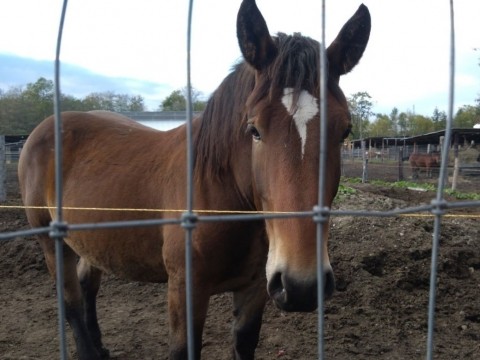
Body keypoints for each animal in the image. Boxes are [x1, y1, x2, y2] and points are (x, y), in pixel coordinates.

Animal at [17, 1, 372, 358]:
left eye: (344, 131)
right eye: (254, 129)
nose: (302, 286)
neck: (220, 197)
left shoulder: (256, 287)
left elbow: (244, 342)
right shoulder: (185, 290)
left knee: (87, 285)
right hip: (50, 240)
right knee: (71, 300)